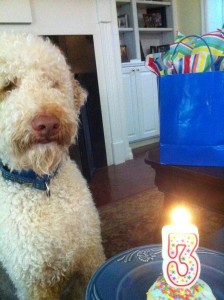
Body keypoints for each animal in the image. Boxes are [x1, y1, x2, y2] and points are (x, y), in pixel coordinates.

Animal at [0, 32, 105, 300]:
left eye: (53, 83)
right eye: (8, 86)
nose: (47, 123)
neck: (42, 185)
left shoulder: (90, 258)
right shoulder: (33, 283)